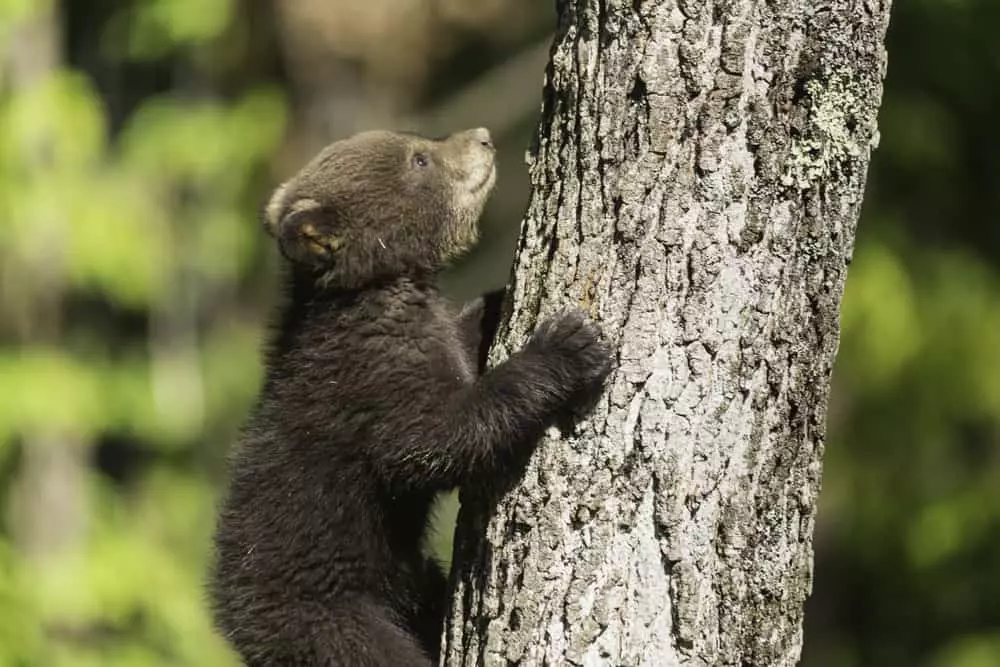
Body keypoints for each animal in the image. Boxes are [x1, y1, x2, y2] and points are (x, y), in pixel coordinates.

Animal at [209, 127, 612, 666]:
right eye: (419, 159)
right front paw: (568, 344)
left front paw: (495, 302)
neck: (380, 290)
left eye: (418, 144)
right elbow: (434, 439)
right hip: (332, 620)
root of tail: (235, 626)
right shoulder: (372, 378)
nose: (482, 138)